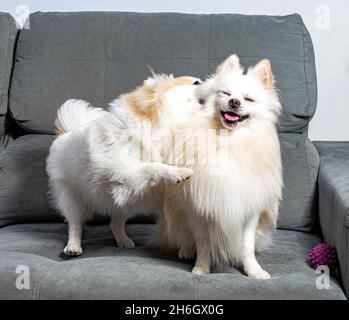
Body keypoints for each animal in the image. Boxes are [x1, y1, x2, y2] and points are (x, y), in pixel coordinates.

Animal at [45, 74, 201, 256]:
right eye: (196, 82)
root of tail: (65, 133)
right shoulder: (124, 173)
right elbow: (152, 167)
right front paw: (178, 172)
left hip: (130, 202)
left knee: (115, 223)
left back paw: (123, 241)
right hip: (71, 197)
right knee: (75, 224)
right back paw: (73, 246)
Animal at [151, 53, 282, 278]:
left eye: (249, 99)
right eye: (226, 93)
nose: (234, 102)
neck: (228, 140)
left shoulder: (250, 211)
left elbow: (247, 246)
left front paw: (254, 271)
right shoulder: (198, 208)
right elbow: (203, 242)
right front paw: (201, 268)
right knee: (184, 236)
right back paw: (186, 251)